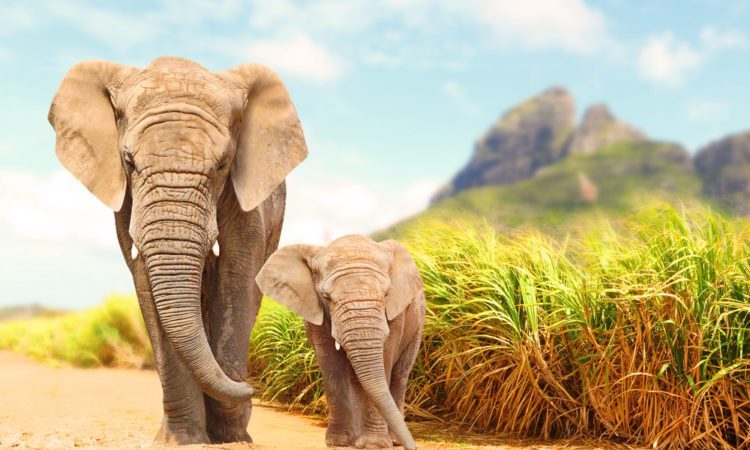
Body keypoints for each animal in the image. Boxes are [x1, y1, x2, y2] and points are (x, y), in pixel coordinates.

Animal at [48, 57, 308, 444]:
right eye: (128, 161)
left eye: (223, 164)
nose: (255, 389)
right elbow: (146, 282)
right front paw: (183, 440)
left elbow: (236, 277)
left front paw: (231, 435)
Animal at [256, 235, 425, 450]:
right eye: (326, 297)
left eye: (386, 294)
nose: (414, 447)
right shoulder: (316, 312)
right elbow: (331, 364)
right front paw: (338, 442)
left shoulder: (396, 314)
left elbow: (385, 361)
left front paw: (374, 444)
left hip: (418, 324)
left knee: (399, 375)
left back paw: (392, 440)